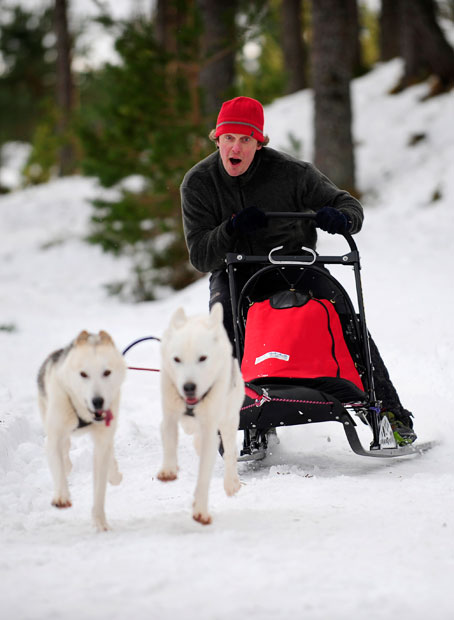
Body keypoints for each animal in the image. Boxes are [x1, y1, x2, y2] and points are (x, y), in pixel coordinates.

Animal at [36, 332, 126, 532]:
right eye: (83, 374)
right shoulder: (54, 436)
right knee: (64, 451)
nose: (98, 401)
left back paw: (114, 472)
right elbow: (58, 464)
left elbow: (100, 487)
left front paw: (99, 521)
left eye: (106, 372)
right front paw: (62, 496)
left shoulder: (102, 442)